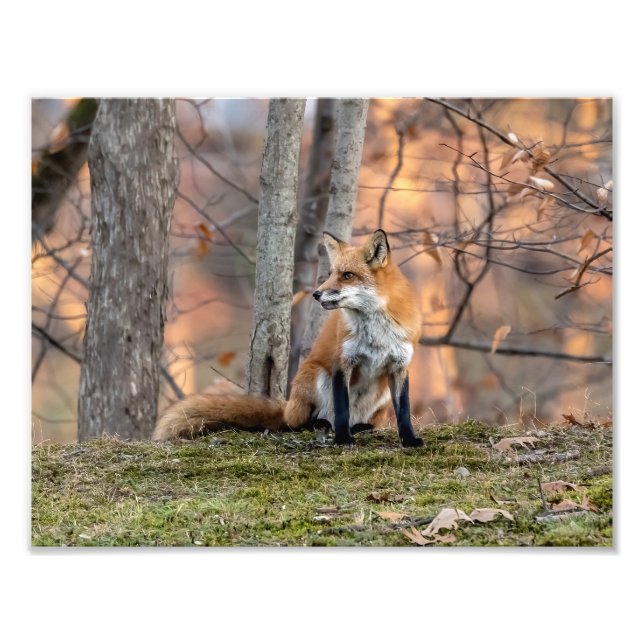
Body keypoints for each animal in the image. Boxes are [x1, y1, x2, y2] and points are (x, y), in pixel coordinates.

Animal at [153, 229, 424, 447]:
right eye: (330, 273)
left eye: (347, 275)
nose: (316, 294)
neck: (376, 332)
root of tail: (288, 407)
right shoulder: (342, 362)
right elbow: (342, 408)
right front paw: (343, 439)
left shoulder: (400, 366)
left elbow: (404, 410)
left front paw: (409, 440)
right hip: (316, 376)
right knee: (301, 422)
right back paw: (323, 426)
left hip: (381, 393)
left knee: (363, 421)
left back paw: (361, 428)